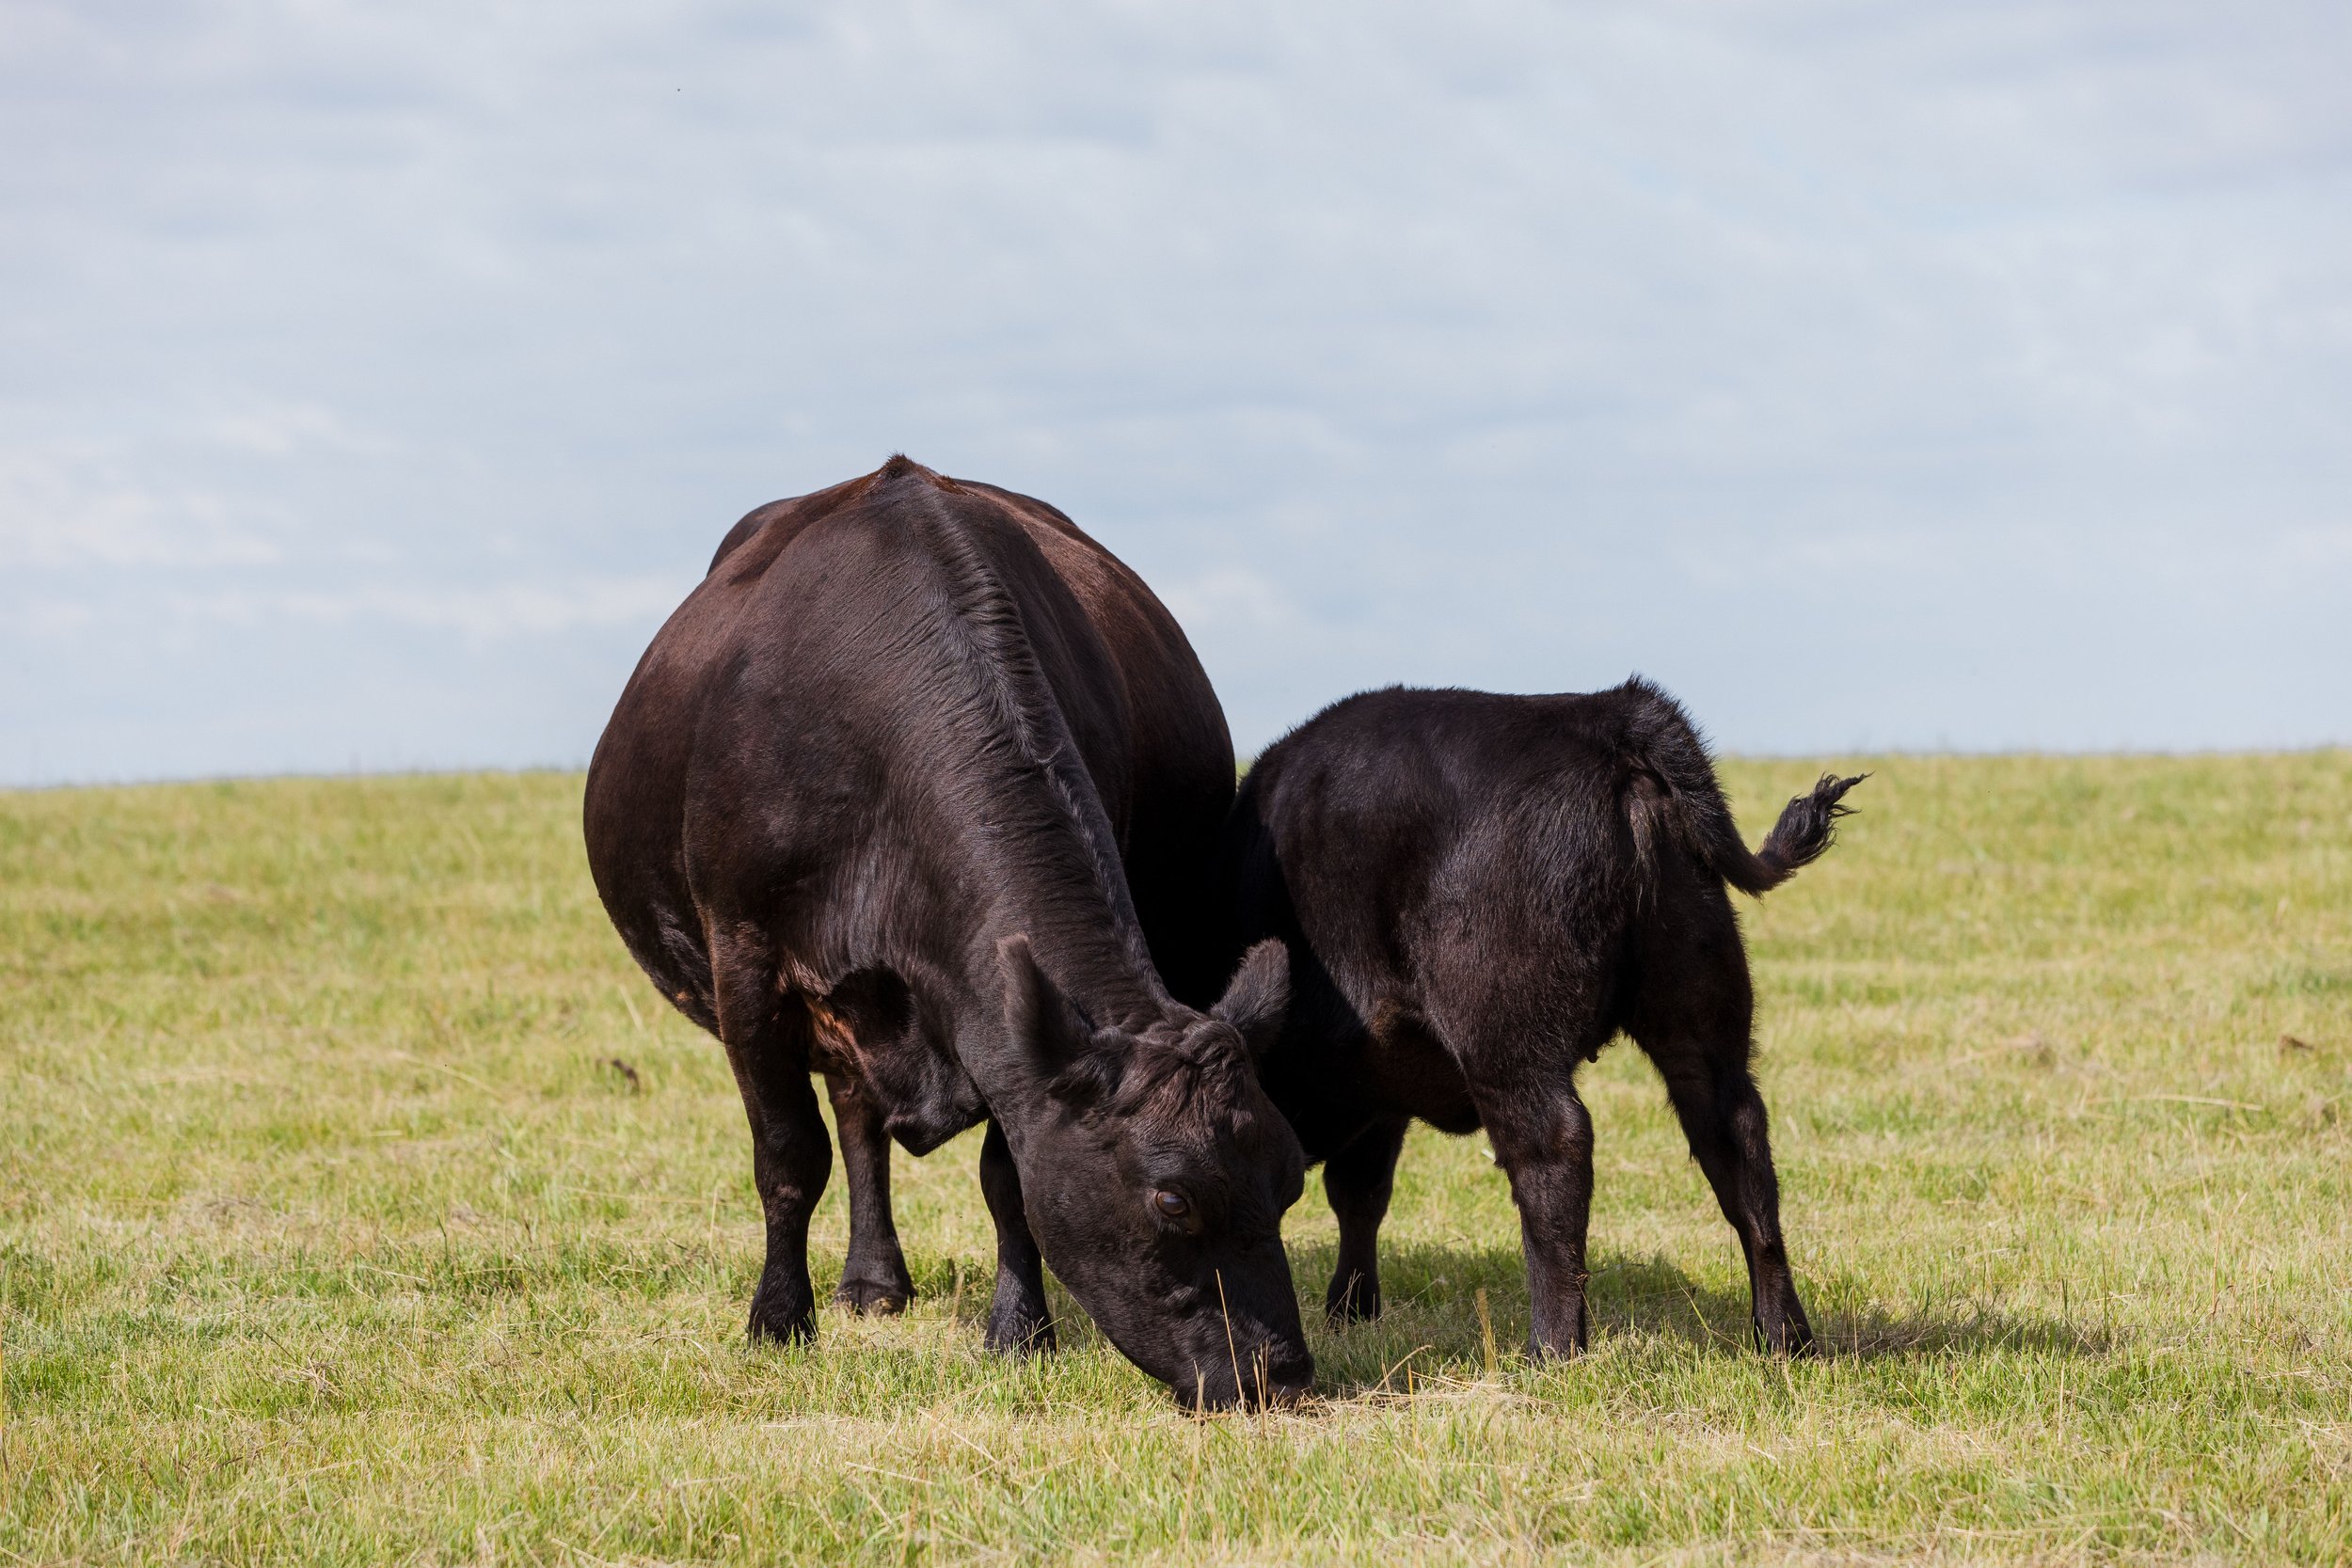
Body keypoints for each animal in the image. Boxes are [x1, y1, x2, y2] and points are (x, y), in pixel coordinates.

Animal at [584, 457, 1313, 1408]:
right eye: (1173, 1200)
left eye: (1291, 1179)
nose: (1282, 1371)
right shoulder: (742, 956)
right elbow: (788, 1154)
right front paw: (778, 1320)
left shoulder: (1001, 1014)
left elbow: (1009, 1176)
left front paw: (1021, 1330)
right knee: (849, 1123)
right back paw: (866, 1283)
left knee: (859, 1112)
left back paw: (875, 1276)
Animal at [1215, 677, 1862, 1360]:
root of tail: (1607, 712)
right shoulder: (1378, 1088)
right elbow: (1359, 1193)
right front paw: (1352, 1309)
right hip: (1700, 1018)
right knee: (1738, 1144)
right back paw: (1783, 1335)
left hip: (1504, 1037)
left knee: (1553, 1149)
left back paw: (1552, 1347)